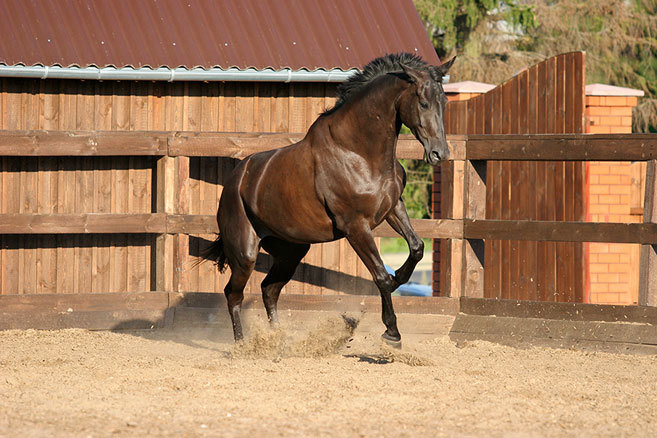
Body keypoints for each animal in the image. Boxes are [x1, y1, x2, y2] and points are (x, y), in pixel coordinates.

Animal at [208, 52, 454, 346]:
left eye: (445, 102)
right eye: (424, 102)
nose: (440, 154)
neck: (358, 152)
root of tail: (234, 182)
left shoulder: (393, 208)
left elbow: (416, 247)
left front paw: (400, 278)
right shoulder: (355, 226)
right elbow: (381, 277)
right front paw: (391, 332)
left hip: (291, 251)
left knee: (269, 289)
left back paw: (278, 340)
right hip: (245, 254)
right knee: (234, 294)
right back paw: (243, 346)